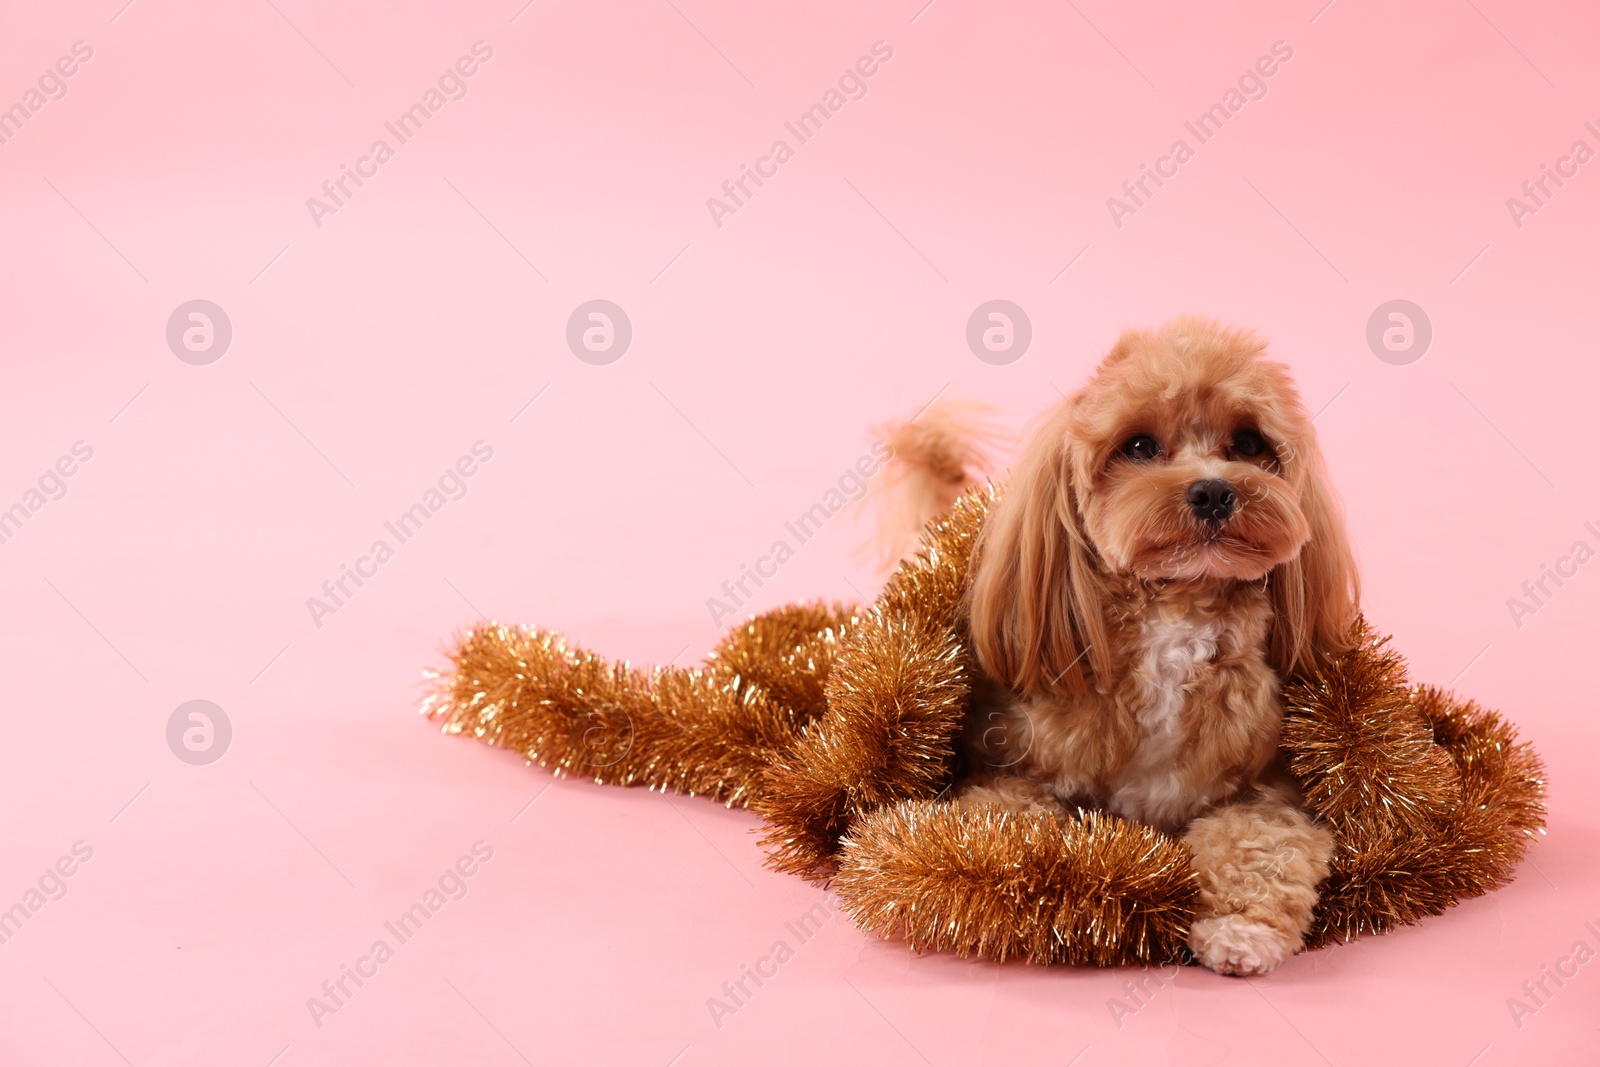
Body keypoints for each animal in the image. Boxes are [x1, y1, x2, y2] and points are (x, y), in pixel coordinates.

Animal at [889, 316, 1363, 979]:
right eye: (1138, 447)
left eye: (1248, 443)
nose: (1213, 492)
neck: (1175, 617)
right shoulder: (1009, 770)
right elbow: (1011, 825)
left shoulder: (1273, 790)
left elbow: (1263, 842)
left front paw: (1240, 929)